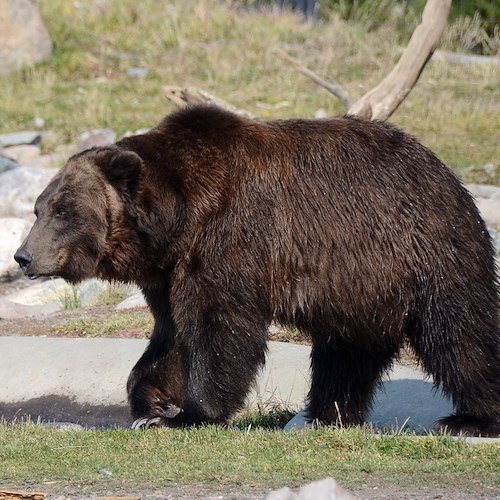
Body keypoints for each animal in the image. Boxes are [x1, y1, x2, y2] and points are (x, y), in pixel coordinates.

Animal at [13, 104, 498, 434]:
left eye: (62, 211)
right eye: (39, 207)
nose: (23, 256)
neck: (178, 218)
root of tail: (447, 173)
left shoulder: (230, 238)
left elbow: (220, 329)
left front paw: (190, 412)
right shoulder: (170, 272)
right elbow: (171, 335)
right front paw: (152, 402)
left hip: (425, 248)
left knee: (459, 332)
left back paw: (470, 418)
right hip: (359, 285)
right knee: (347, 352)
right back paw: (327, 412)